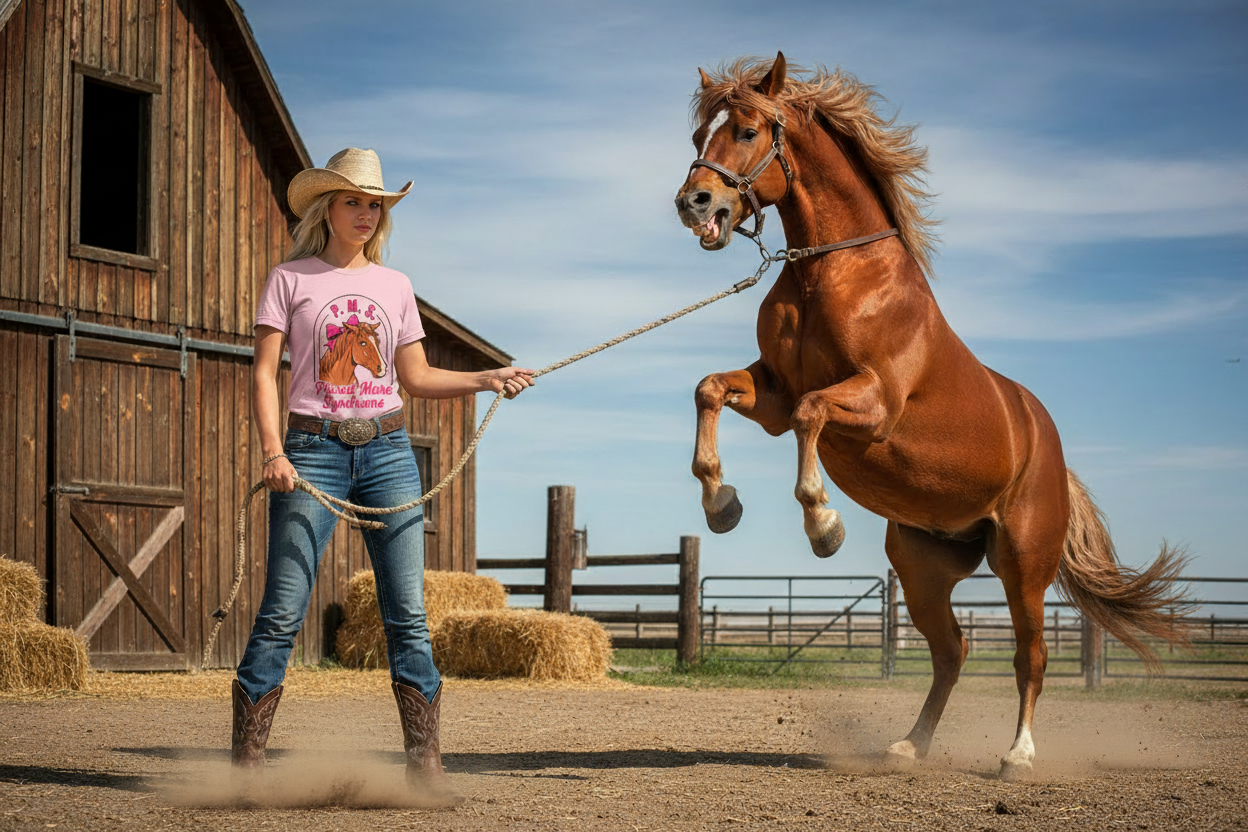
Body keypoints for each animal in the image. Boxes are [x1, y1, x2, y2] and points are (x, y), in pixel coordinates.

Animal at [674, 53, 1190, 779]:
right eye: (701, 136)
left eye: (746, 130)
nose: (693, 203)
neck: (836, 276)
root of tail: (1052, 454)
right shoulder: (769, 392)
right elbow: (711, 389)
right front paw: (721, 503)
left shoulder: (874, 403)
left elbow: (810, 414)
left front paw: (823, 524)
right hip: (923, 568)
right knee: (952, 651)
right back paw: (908, 747)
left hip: (1023, 565)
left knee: (1029, 656)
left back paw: (1017, 756)